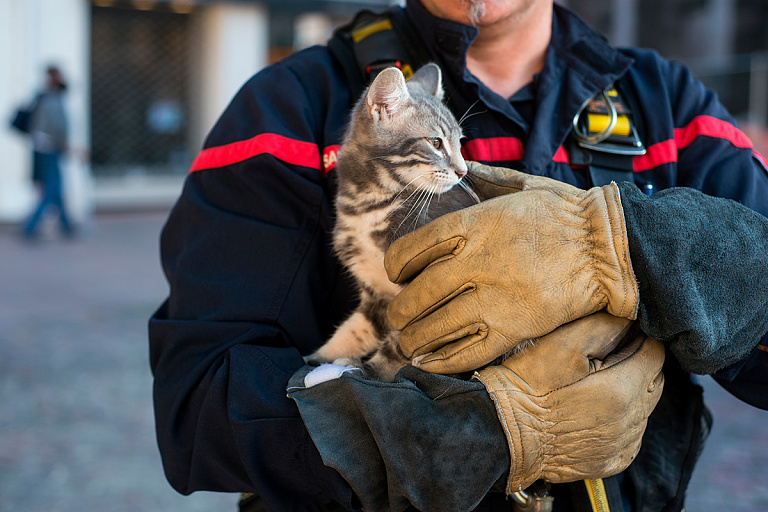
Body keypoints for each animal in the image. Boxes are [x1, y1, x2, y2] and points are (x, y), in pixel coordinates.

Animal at [308, 63, 484, 380]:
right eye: (436, 142)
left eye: (460, 143)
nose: (463, 171)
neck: (369, 205)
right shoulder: (375, 291)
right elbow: (357, 329)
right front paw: (322, 356)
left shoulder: (429, 293)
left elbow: (405, 344)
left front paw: (369, 371)